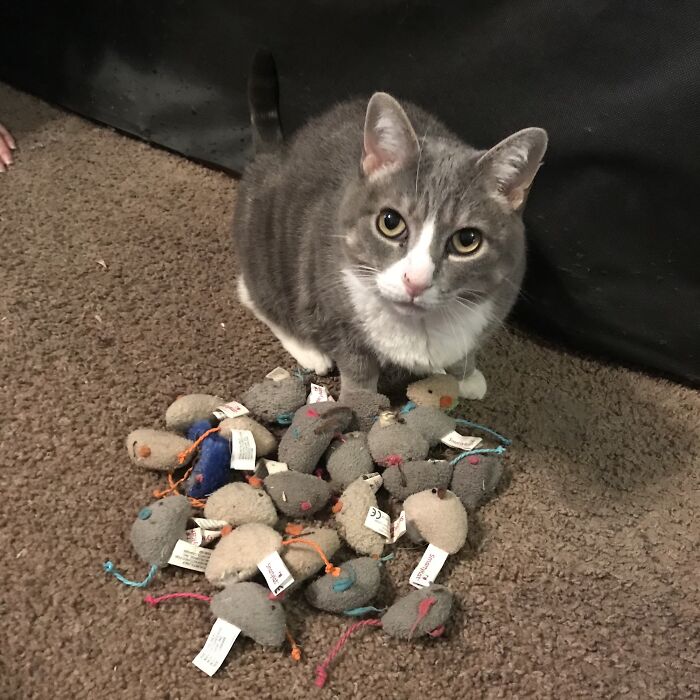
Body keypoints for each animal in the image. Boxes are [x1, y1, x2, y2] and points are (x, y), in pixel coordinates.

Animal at [235, 59, 548, 396]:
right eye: (390, 222)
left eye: (467, 240)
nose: (416, 281)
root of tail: (274, 154)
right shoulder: (336, 313)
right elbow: (357, 365)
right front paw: (359, 398)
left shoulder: (501, 295)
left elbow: (466, 350)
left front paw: (467, 376)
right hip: (269, 249)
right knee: (255, 293)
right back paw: (309, 349)